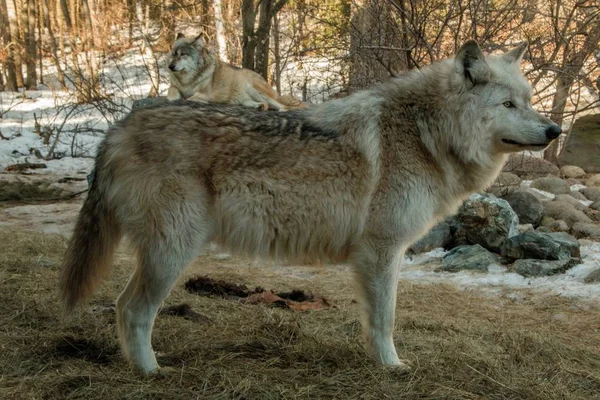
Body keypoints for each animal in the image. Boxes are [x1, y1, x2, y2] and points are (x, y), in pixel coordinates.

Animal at [58, 40, 560, 376]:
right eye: (508, 103)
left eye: (529, 101)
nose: (555, 130)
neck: (425, 132)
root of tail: (118, 128)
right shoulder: (381, 251)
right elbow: (386, 319)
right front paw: (392, 367)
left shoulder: (379, 255)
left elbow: (373, 319)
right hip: (173, 252)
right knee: (132, 309)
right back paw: (151, 372)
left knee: (123, 307)